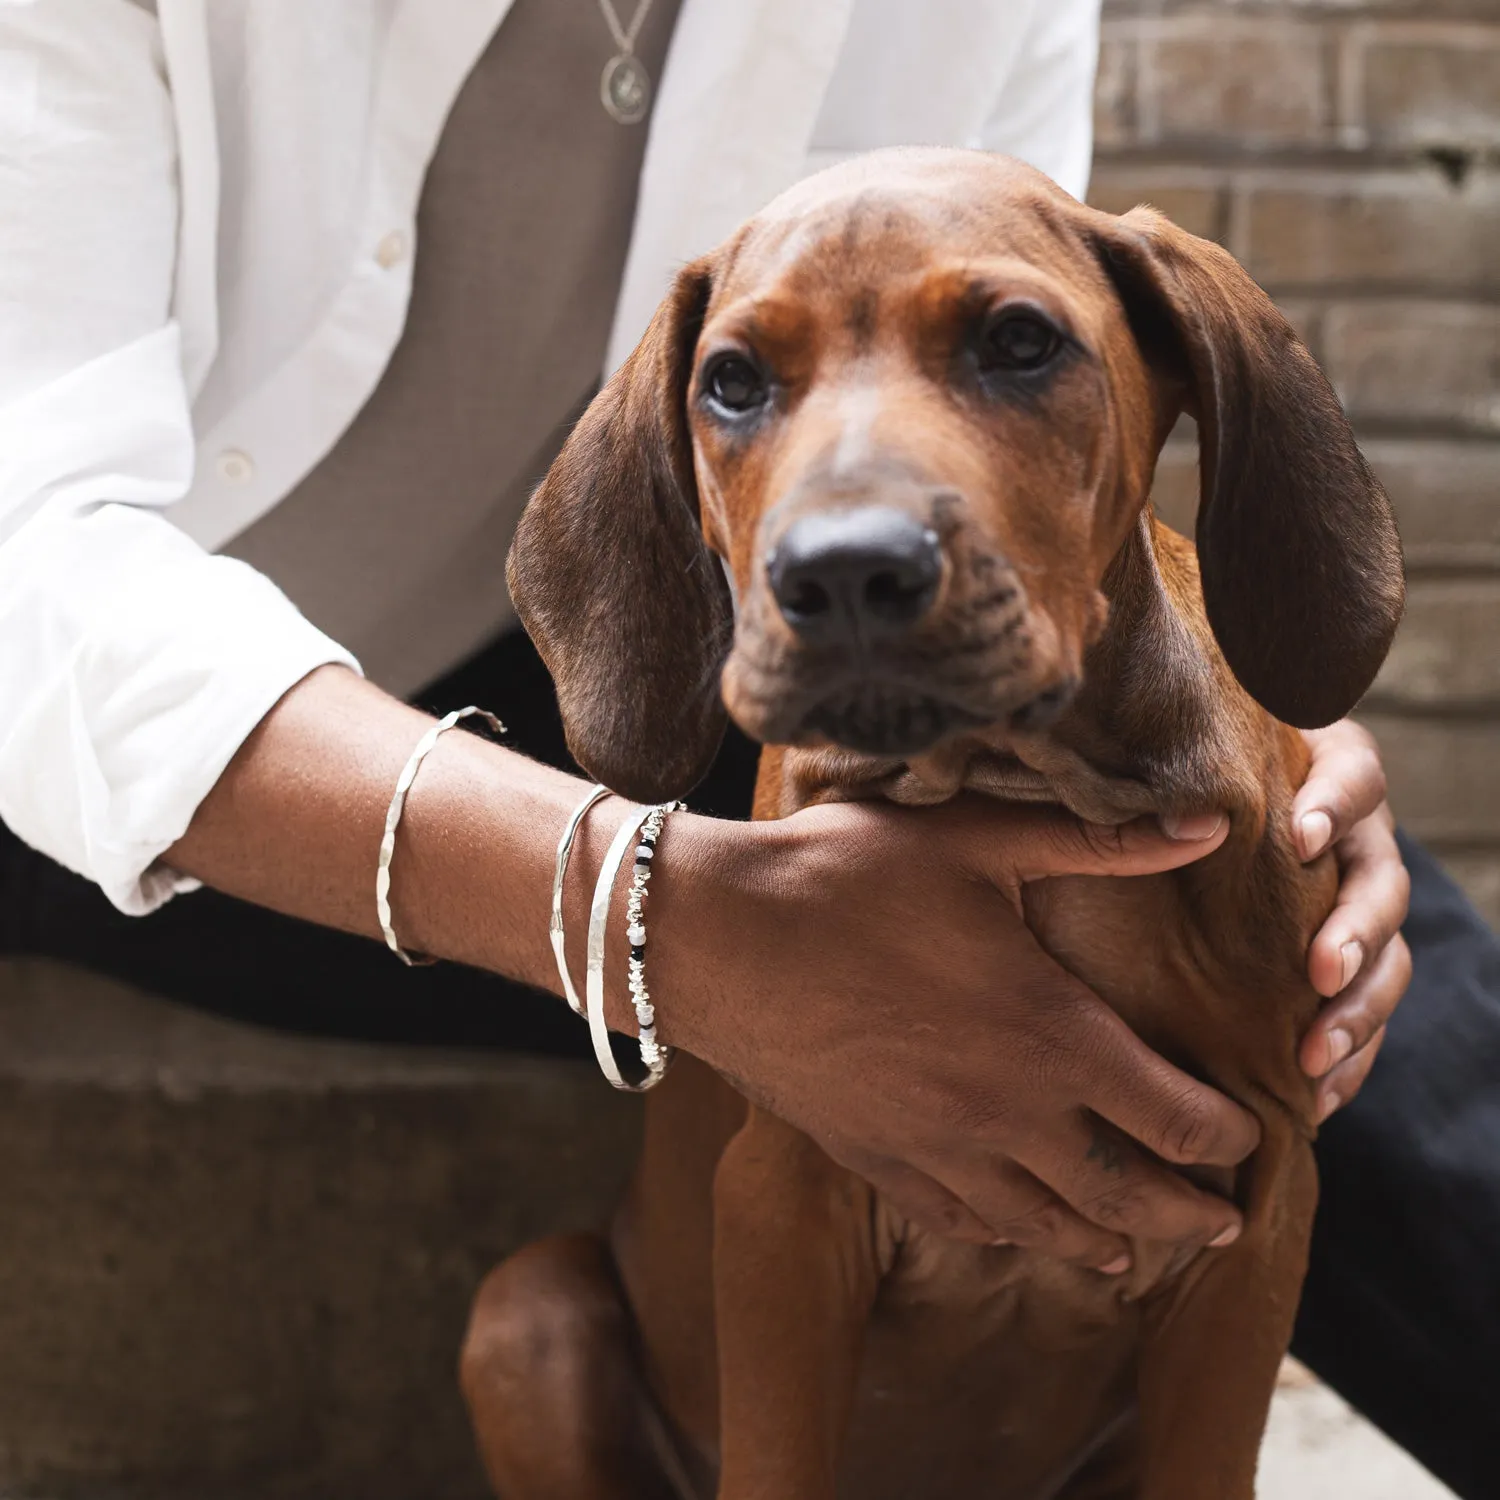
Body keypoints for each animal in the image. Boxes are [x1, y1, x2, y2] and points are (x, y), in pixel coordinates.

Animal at [459, 143, 1404, 1500]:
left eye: (1019, 343)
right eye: (732, 382)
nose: (847, 574)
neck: (1024, 786)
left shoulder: (1263, 1227)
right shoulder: (790, 1199)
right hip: (522, 1319)